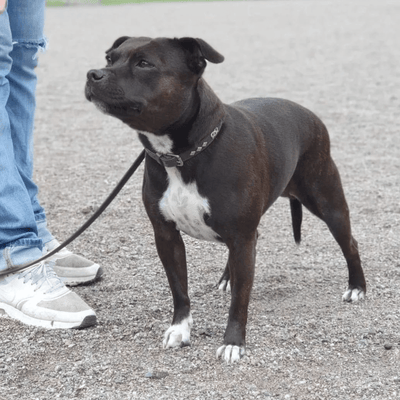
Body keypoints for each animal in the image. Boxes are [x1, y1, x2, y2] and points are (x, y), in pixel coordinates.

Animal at [86, 36, 368, 362]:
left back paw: (357, 287)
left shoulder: (240, 236)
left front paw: (234, 342)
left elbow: (239, 299)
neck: (182, 154)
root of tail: (308, 113)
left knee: (350, 243)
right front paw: (180, 329)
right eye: (109, 58)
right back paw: (226, 277)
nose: (93, 73)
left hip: (327, 201)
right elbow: (179, 289)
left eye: (144, 63)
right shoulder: (167, 235)